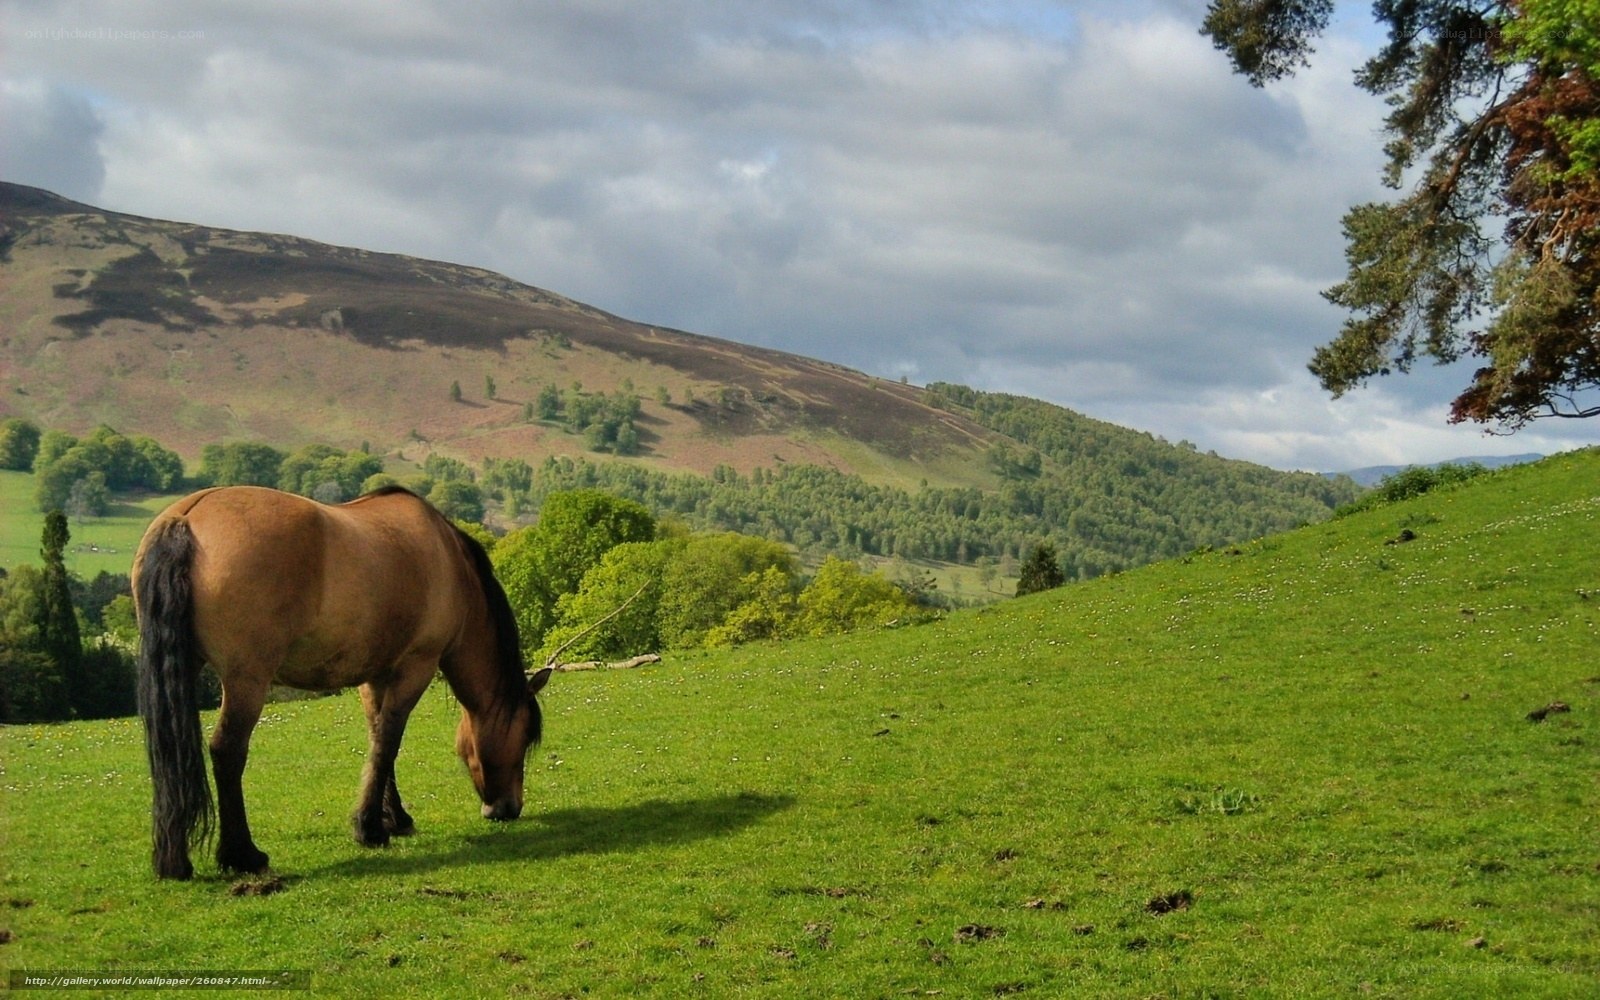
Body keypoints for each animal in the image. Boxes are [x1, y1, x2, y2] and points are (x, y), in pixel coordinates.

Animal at [132, 485, 552, 880]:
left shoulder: (376, 676)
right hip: (246, 680)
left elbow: (379, 741)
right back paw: (243, 855)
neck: (449, 561)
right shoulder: (415, 667)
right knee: (227, 751)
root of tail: (187, 518)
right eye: (525, 737)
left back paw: (175, 861)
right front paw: (370, 829)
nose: (508, 808)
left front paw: (392, 819)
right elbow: (388, 743)